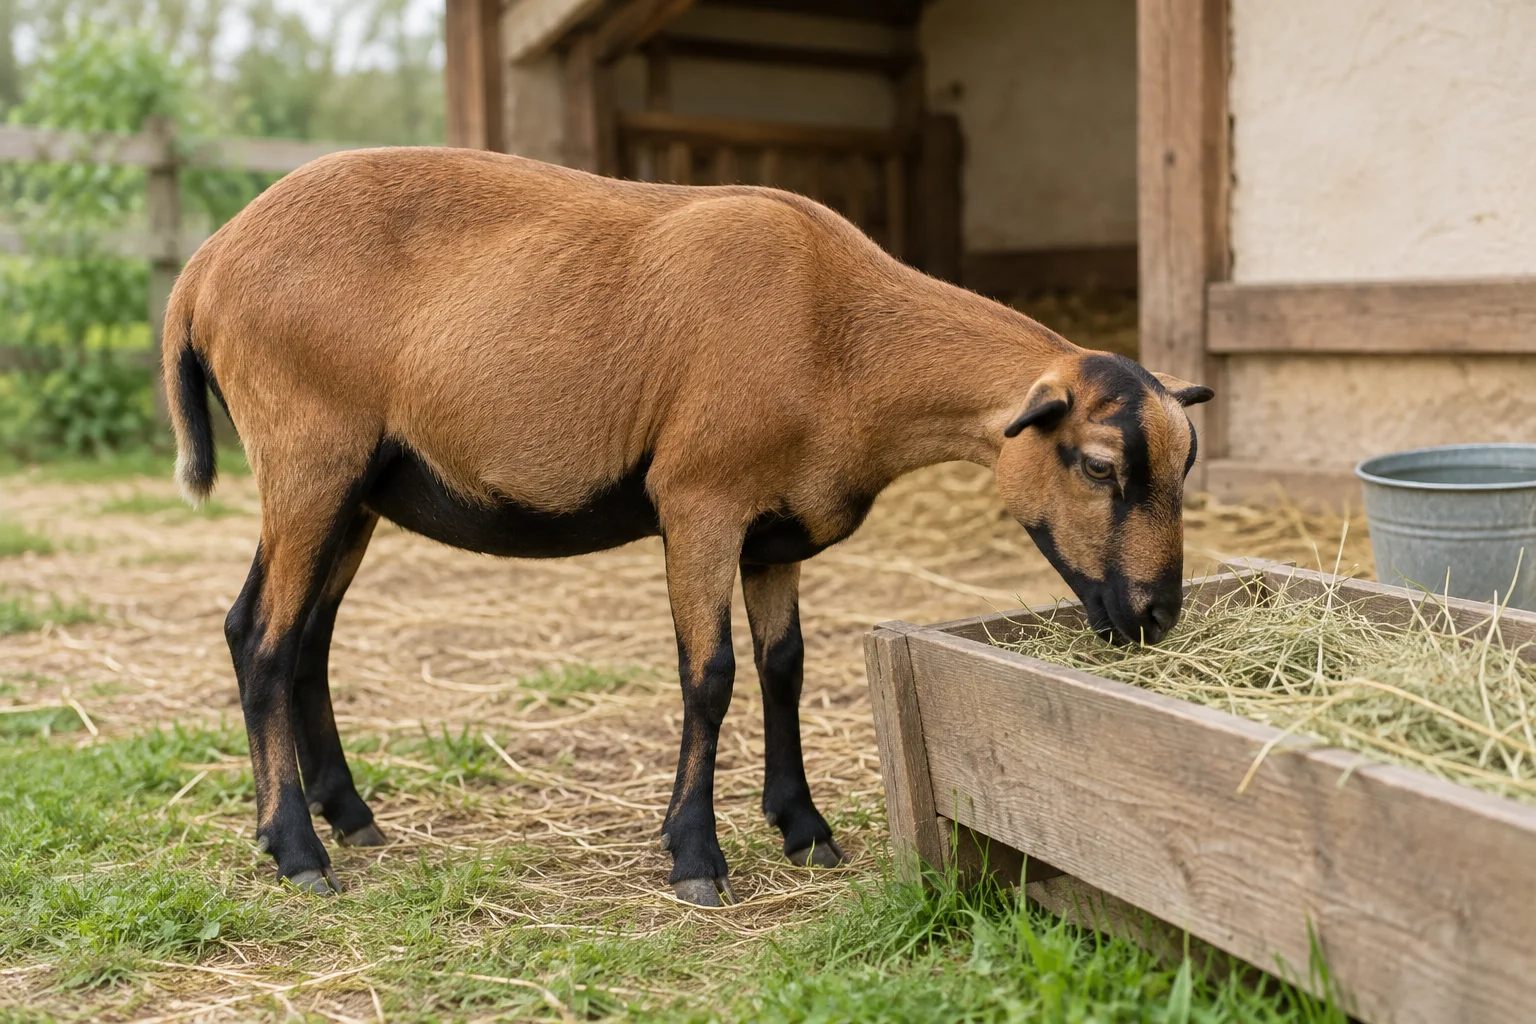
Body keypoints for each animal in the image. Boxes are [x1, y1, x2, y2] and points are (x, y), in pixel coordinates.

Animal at [162, 146, 1213, 906]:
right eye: (1100, 466)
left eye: (1189, 464)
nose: (1156, 616)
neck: (842, 338)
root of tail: (201, 269)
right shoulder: (699, 500)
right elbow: (710, 675)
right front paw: (696, 859)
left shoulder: (775, 530)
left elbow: (785, 668)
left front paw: (806, 832)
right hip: (309, 454)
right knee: (264, 639)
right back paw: (298, 852)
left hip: (357, 489)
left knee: (295, 636)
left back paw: (351, 816)